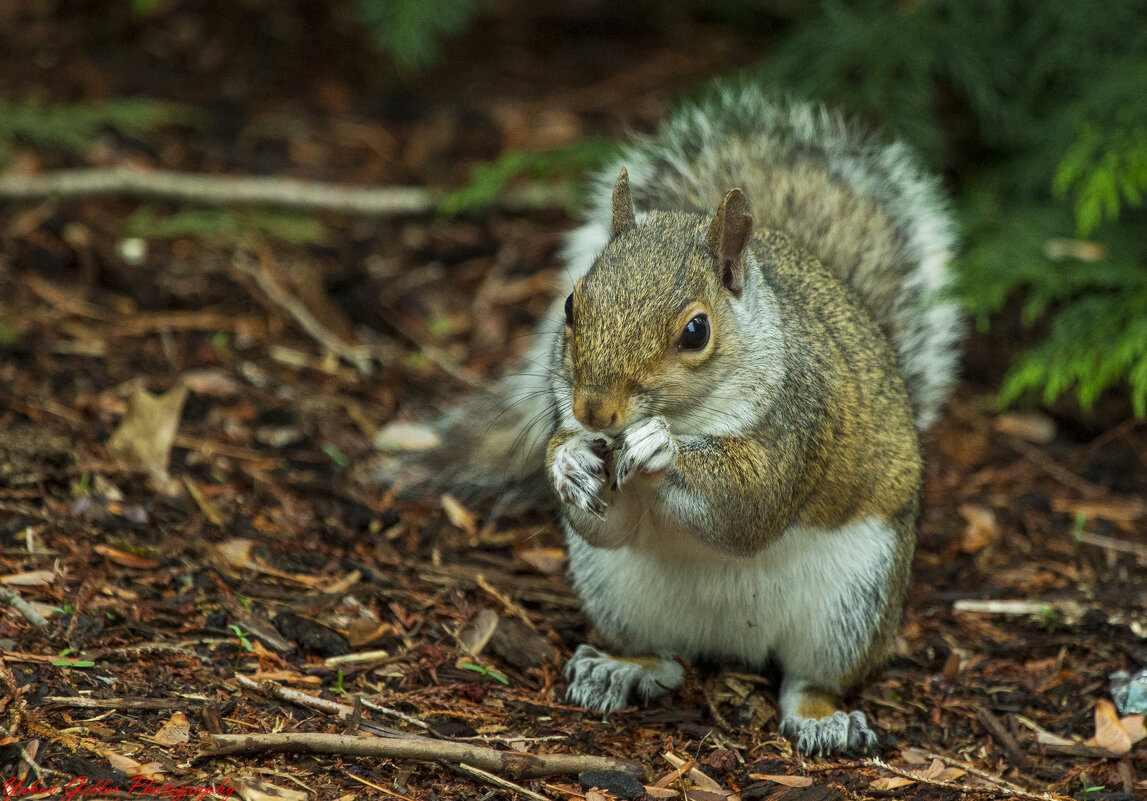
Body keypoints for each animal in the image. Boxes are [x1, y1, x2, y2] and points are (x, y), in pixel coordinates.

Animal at [367, 87, 958, 752]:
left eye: (696, 331)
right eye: (569, 304)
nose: (593, 410)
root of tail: (733, 640)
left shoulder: (799, 424)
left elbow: (749, 506)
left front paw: (660, 448)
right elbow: (607, 520)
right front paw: (568, 462)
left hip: (853, 606)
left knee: (809, 679)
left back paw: (821, 719)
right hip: (617, 594)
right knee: (666, 658)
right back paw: (620, 670)